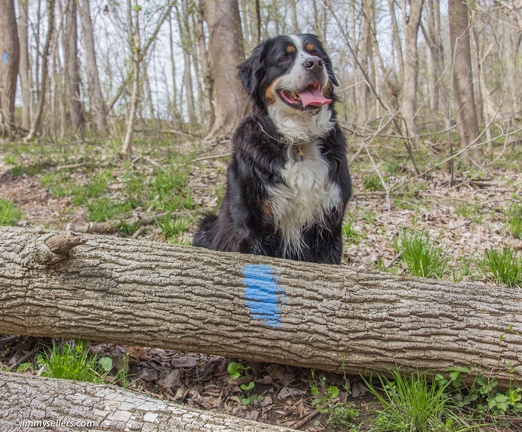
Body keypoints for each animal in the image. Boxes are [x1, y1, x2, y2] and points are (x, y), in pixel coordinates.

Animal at [193, 33, 352, 264]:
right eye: (285, 58)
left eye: (315, 53)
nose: (315, 64)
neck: (297, 141)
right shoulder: (253, 227)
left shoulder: (329, 225)